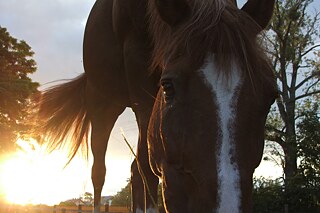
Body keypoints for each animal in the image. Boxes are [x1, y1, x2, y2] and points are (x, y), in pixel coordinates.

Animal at [37, 0, 278, 212]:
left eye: (271, 96)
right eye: (168, 86)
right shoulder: (140, 78)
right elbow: (146, 168)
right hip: (103, 104)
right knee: (100, 172)